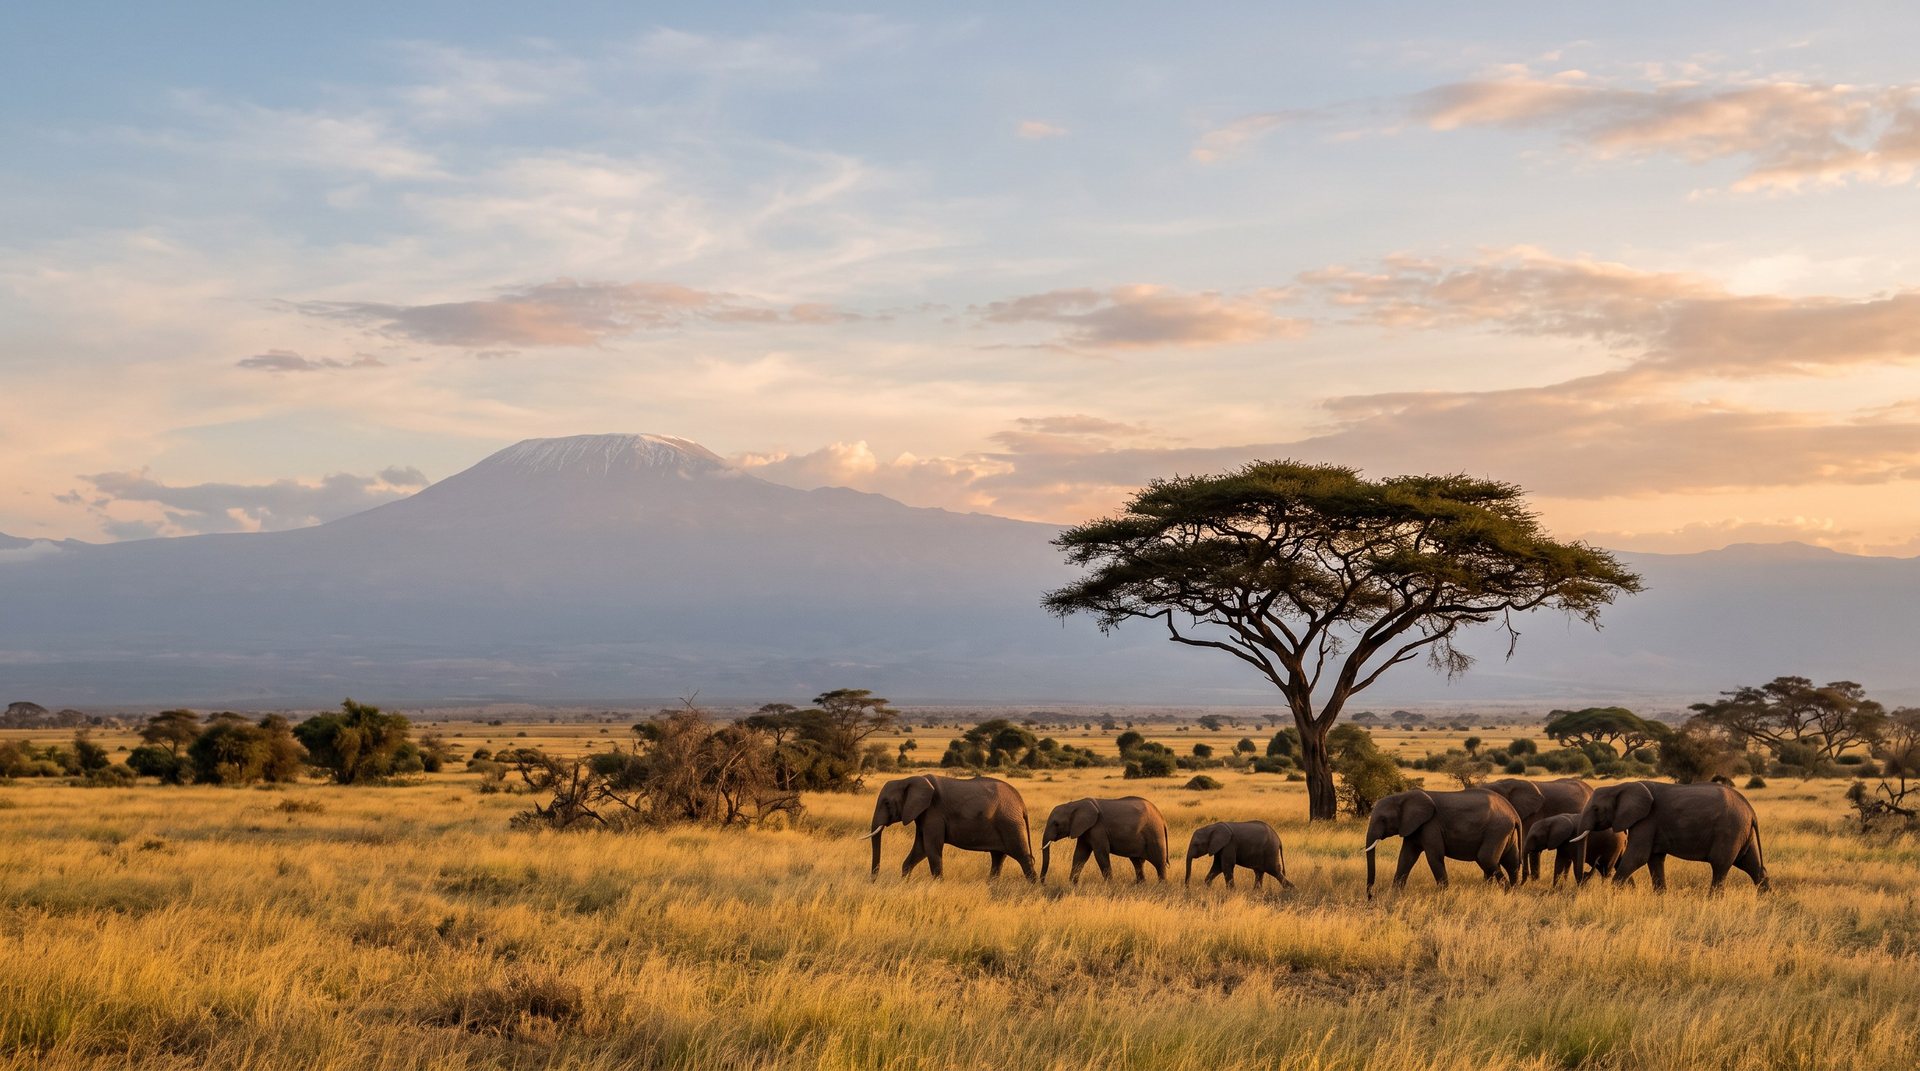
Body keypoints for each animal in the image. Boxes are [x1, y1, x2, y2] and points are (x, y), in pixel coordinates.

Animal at [865, 774, 1036, 881]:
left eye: (887, 803)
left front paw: (937, 886)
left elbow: (931, 848)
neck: (908, 780)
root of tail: (1022, 804)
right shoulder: (923, 815)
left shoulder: (934, 813)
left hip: (1010, 824)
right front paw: (904, 884)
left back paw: (1033, 889)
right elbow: (921, 849)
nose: (873, 880)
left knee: (1023, 857)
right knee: (998, 858)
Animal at [1039, 796, 1169, 883]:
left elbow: (1101, 853)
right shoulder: (1085, 830)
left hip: (1154, 834)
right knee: (1137, 862)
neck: (1075, 804)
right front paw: (1072, 884)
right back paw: (1141, 885)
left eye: (1056, 824)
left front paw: (1109, 885)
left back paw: (1161, 886)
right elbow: (1080, 855)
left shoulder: (1098, 828)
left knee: (1159, 863)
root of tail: (1162, 819)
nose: (1043, 883)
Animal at [1363, 788, 1522, 898]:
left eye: (1383, 819)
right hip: (1505, 832)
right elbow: (1406, 858)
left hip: (1496, 830)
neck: (1403, 796)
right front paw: (1394, 895)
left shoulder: (1431, 825)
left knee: (1486, 858)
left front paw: (1444, 895)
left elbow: (1434, 857)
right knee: (1511, 862)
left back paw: (1507, 892)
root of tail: (1514, 813)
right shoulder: (1412, 827)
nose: (1370, 896)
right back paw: (1512, 892)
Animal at [1574, 780, 1769, 892]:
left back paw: (1713, 900)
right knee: (1752, 865)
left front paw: (1613, 893)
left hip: (1729, 831)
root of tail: (1751, 810)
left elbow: (1638, 857)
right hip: (1742, 832)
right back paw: (1765, 900)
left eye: (1596, 809)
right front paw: (1660, 897)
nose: (1584, 878)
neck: (1621, 786)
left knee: (1720, 866)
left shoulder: (1647, 820)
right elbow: (1654, 859)